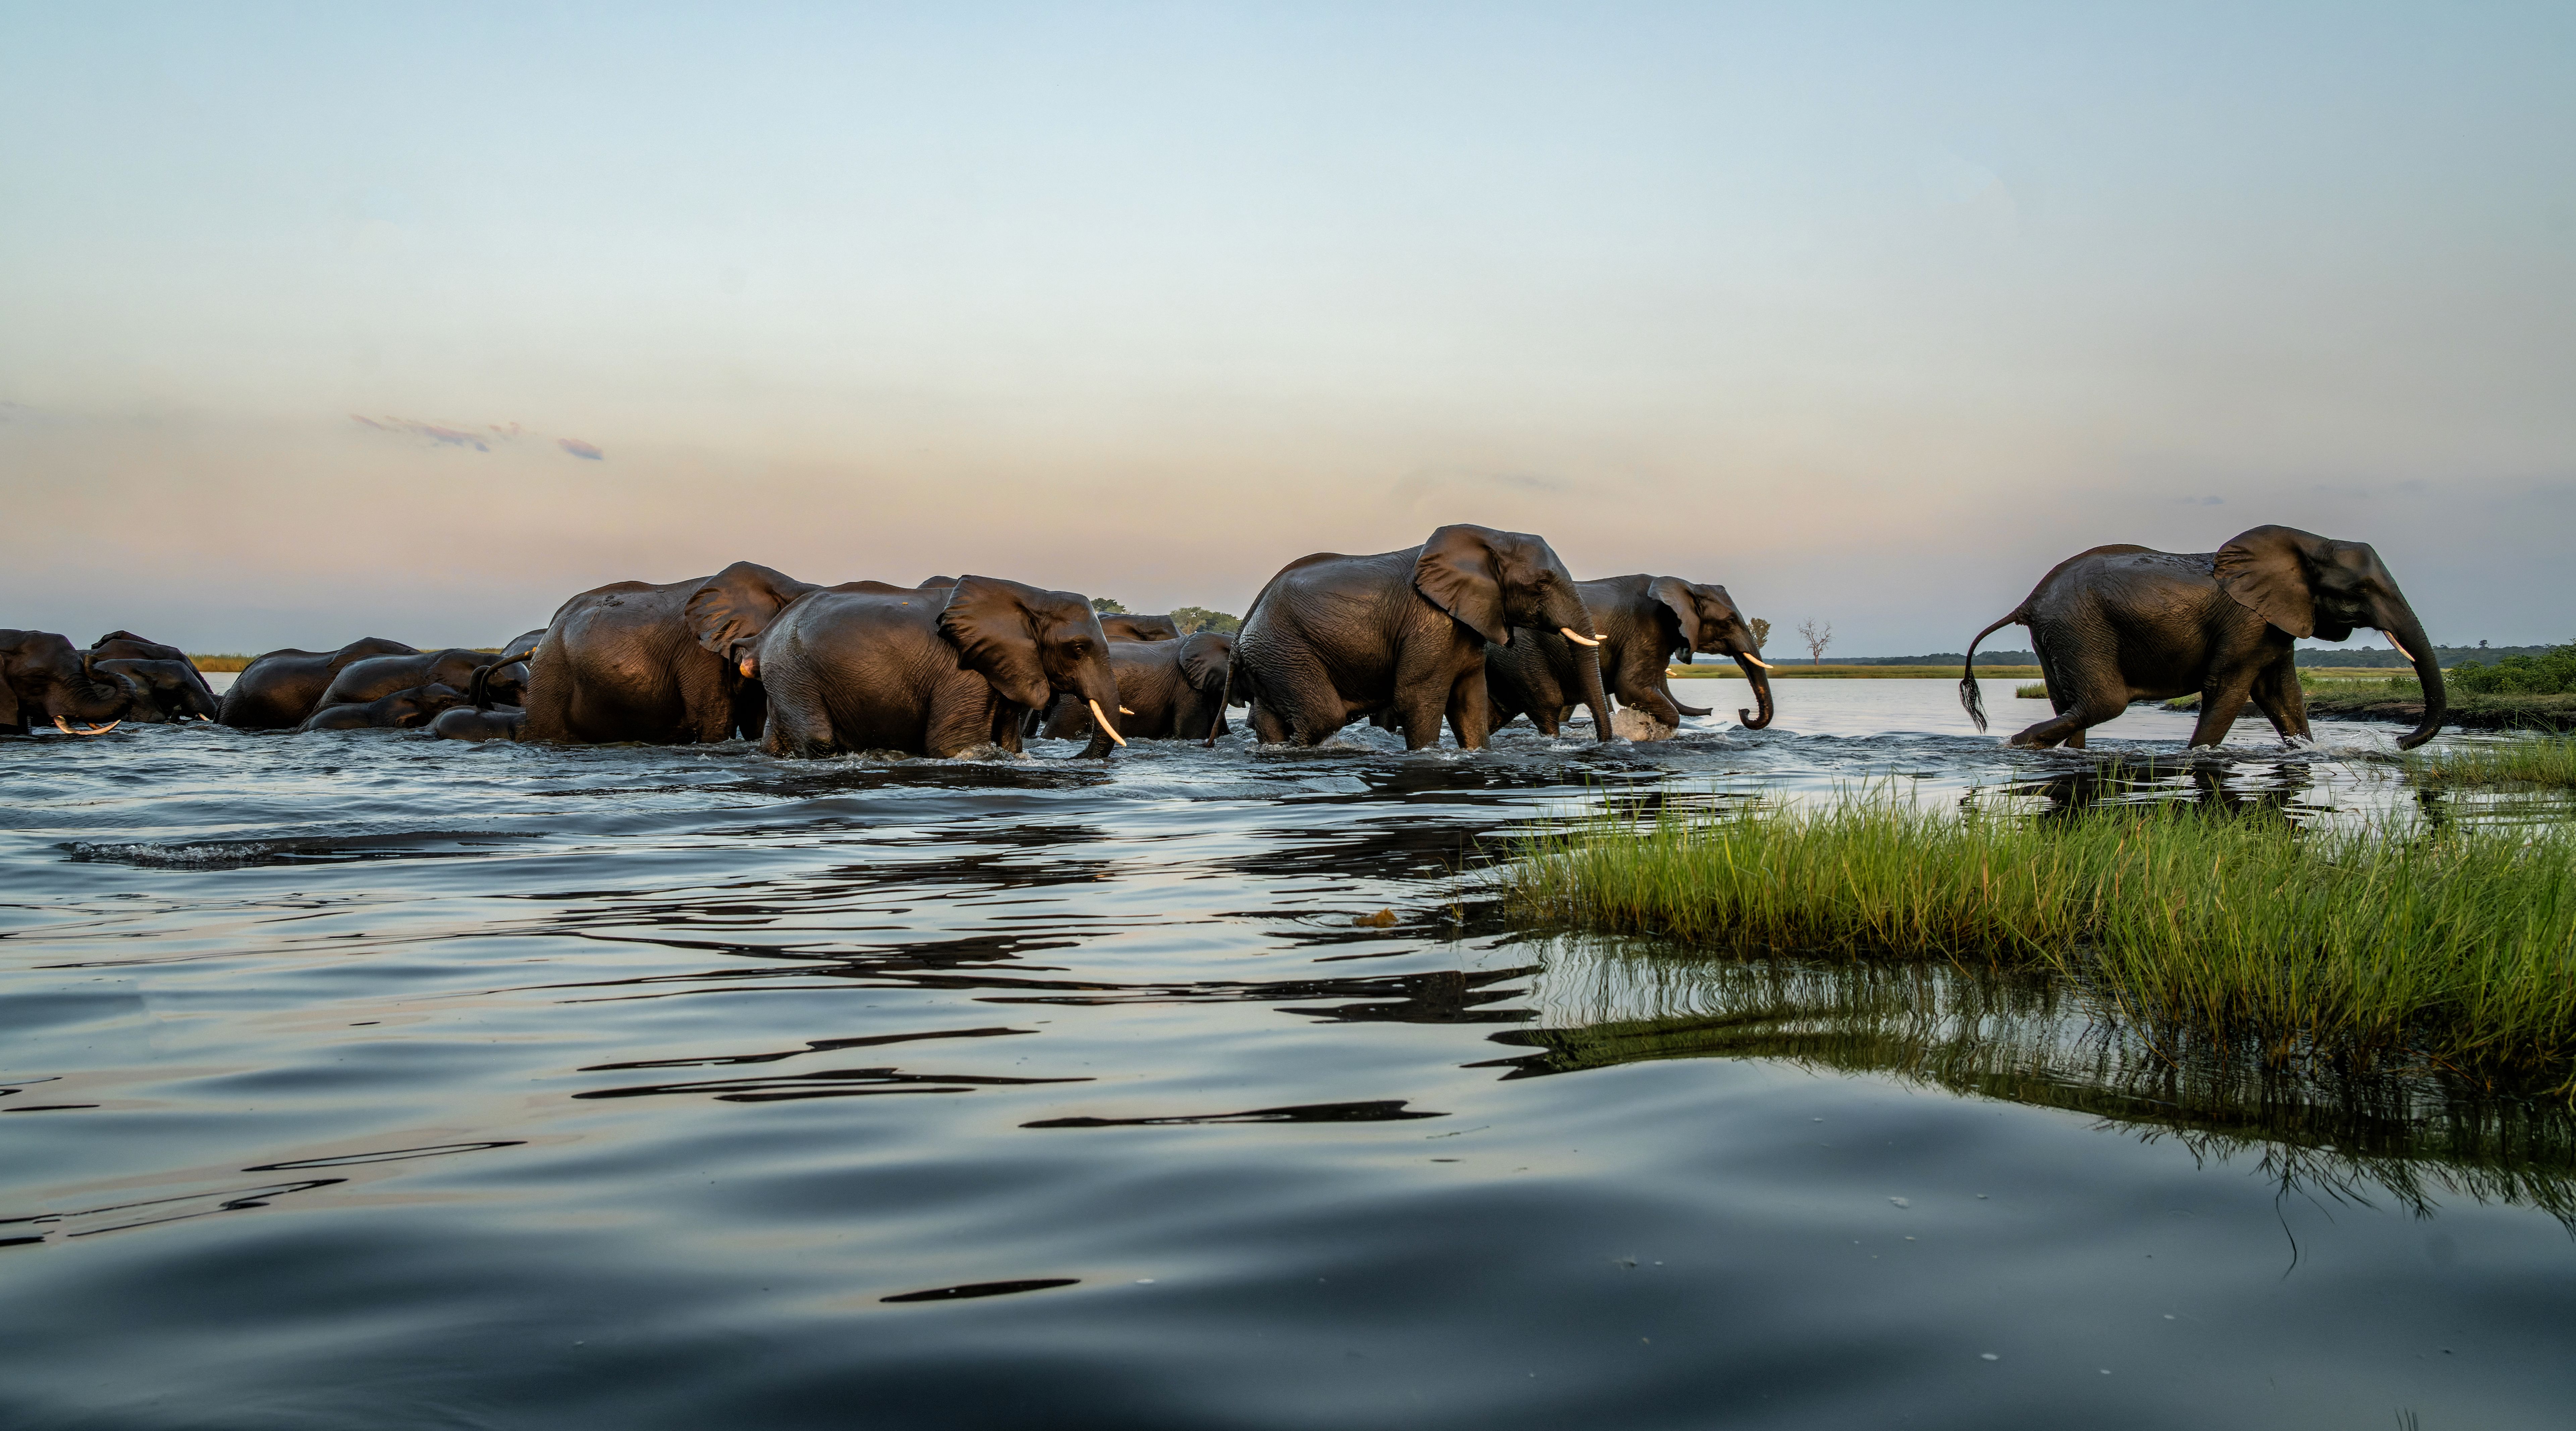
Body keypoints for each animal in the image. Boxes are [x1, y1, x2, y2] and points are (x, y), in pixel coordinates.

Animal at [689, 569, 1127, 759]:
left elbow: (1009, 743)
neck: (1031, 596)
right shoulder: (963, 672)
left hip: (785, 677)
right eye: (1078, 648)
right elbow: (954, 747)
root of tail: (765, 636)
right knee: (818, 739)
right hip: (795, 672)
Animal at [1231, 523, 1609, 750]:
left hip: (1272, 656)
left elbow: (1470, 704)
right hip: (1285, 649)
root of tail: (1244, 629)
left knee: (1272, 720)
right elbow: (1417, 699)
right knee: (1323, 717)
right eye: (1542, 583)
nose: (1604, 743)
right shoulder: (1430, 623)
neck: (1491, 536)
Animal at [1485, 575, 1777, 738]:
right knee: (1548, 705)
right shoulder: (1647, 628)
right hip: (1522, 655)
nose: (1744, 711)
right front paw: (1644, 729)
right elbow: (1631, 688)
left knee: (1495, 713)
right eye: (1730, 621)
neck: (1686, 586)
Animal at [1961, 524, 2447, 750]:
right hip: (2081, 627)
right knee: (2104, 703)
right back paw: (2019, 744)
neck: (2310, 541)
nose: (2398, 742)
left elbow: (2282, 695)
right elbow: (2228, 690)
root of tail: (2030, 600)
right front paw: (2197, 755)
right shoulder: (2248, 620)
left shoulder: (2274, 622)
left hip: (2059, 634)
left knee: (2069, 703)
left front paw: (2304, 749)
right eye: (2360, 589)